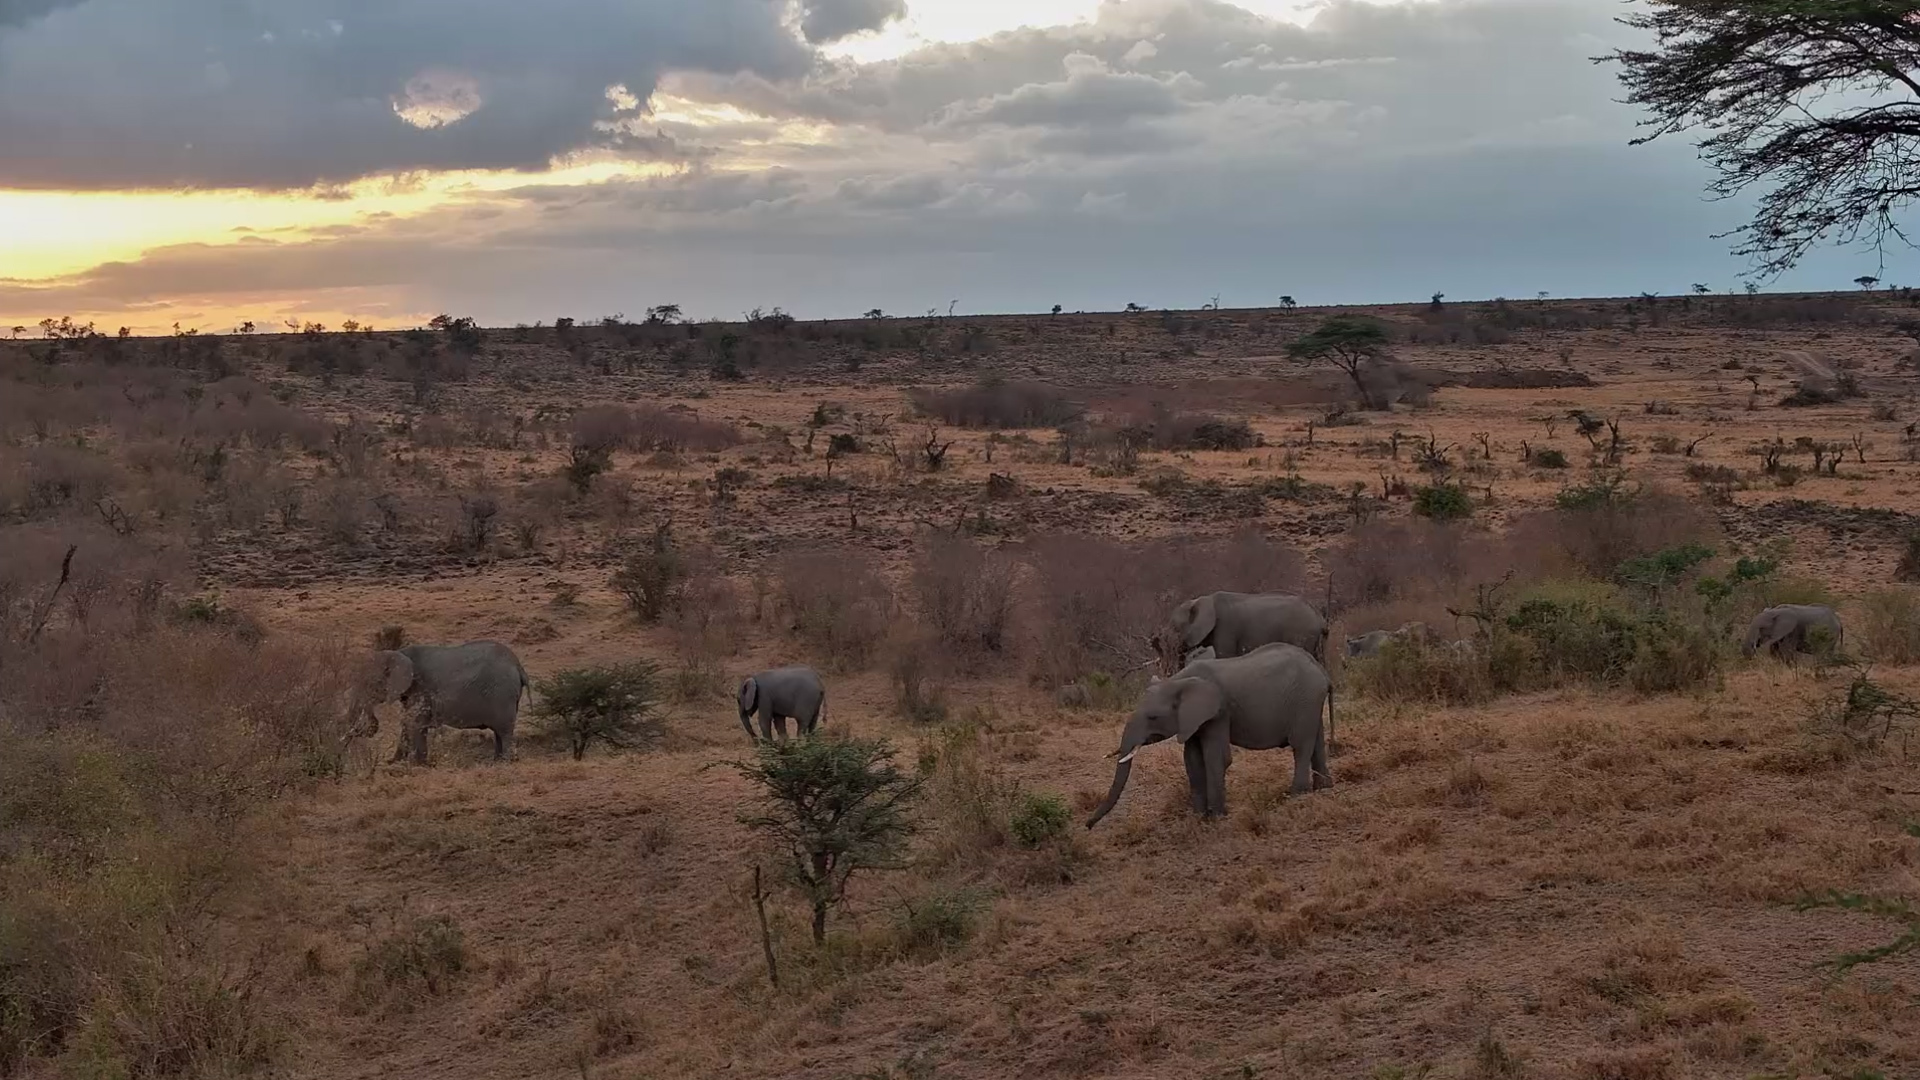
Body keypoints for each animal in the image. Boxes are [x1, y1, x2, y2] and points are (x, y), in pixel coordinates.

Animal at [347, 640, 531, 764]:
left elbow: (413, 722)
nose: (366, 728)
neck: (399, 653)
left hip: (502, 694)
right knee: (498, 731)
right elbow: (408, 723)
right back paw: (496, 761)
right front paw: (395, 763)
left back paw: (505, 762)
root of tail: (518, 666)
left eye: (369, 683)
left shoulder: (420, 687)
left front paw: (416, 765)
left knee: (504, 730)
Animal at [1086, 642, 1333, 828]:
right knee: (1317, 741)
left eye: (1153, 717)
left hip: (1305, 698)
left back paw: (1296, 795)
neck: (1178, 681)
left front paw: (1217, 816)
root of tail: (1322, 670)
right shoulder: (1192, 721)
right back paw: (1324, 788)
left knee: (1301, 745)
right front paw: (1199, 817)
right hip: (1310, 701)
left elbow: (1217, 757)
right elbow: (1192, 760)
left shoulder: (1219, 712)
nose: (1087, 825)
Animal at [1173, 591, 1328, 665]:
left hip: (1302, 633)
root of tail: (1319, 616)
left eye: (1175, 630)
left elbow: (1225, 656)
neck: (1203, 599)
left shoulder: (1226, 628)